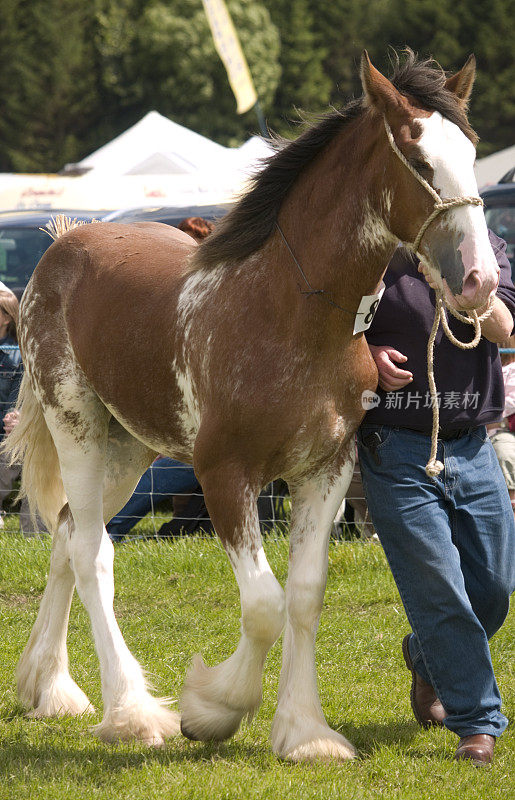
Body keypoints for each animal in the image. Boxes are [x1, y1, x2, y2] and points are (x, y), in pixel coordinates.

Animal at [5, 51, 500, 764]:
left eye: (472, 150)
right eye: (418, 157)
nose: (481, 282)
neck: (289, 312)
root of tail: (62, 247)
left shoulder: (325, 469)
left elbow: (303, 595)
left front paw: (305, 733)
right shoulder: (225, 475)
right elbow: (264, 604)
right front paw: (211, 707)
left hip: (130, 446)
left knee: (70, 535)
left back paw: (50, 688)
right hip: (79, 428)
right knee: (93, 551)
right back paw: (132, 713)